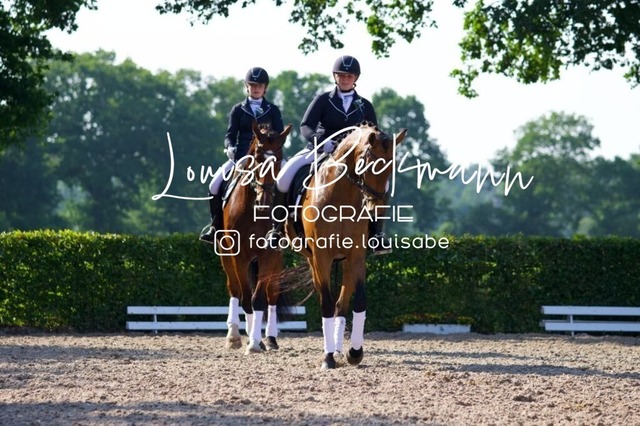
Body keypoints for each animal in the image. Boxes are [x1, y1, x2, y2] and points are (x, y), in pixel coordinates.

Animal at [216, 121, 292, 354]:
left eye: (278, 158)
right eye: (258, 157)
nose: (266, 200)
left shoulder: (269, 254)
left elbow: (258, 299)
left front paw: (257, 342)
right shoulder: (238, 254)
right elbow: (245, 296)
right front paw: (250, 341)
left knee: (272, 293)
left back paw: (270, 339)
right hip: (226, 254)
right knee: (234, 289)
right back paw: (234, 336)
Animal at [283, 122, 407, 369]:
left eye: (392, 166)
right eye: (369, 163)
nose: (376, 208)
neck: (341, 197)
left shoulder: (356, 256)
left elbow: (359, 302)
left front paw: (355, 352)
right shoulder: (321, 257)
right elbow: (326, 304)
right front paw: (328, 357)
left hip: (346, 262)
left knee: (341, 303)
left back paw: (339, 348)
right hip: (312, 259)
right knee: (329, 300)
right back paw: (331, 350)